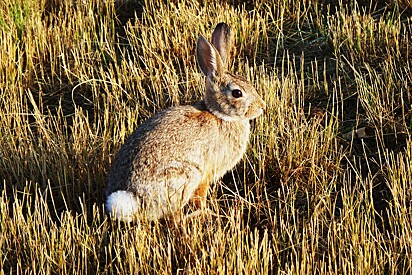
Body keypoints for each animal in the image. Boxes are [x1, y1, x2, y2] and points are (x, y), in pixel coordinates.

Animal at [106, 22, 266, 223]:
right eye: (237, 93)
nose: (262, 107)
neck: (220, 115)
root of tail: (130, 199)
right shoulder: (205, 174)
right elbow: (200, 198)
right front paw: (207, 211)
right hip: (186, 176)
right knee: (174, 217)